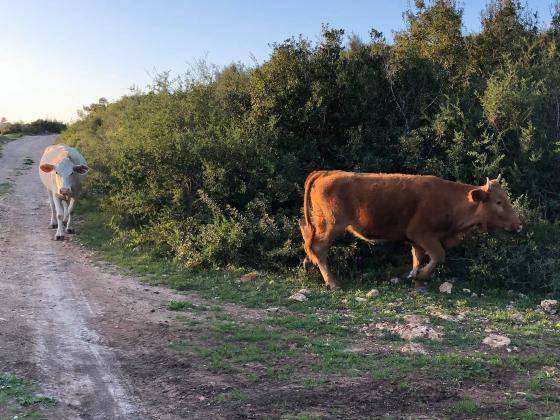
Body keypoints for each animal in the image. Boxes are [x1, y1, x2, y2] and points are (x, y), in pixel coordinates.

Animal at [300, 171, 524, 288]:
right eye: (498, 202)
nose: (519, 225)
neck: (453, 200)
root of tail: (326, 172)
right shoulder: (423, 234)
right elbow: (438, 255)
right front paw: (420, 276)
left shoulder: (418, 241)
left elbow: (418, 257)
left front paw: (415, 277)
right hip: (331, 225)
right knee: (318, 247)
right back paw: (333, 282)